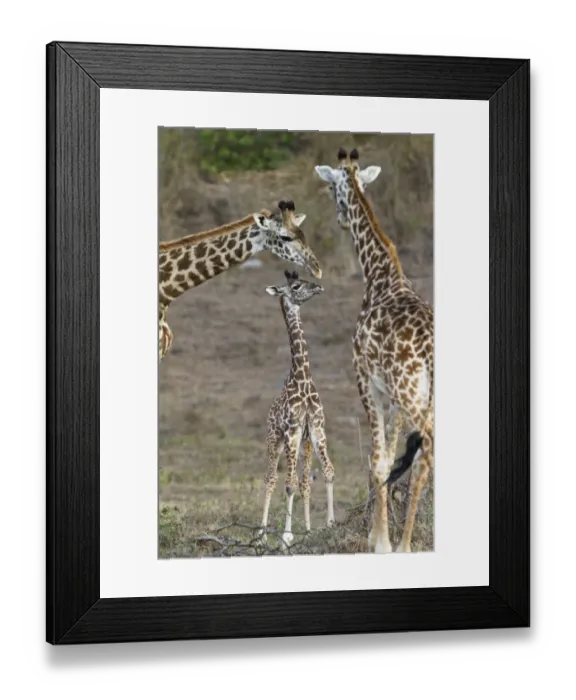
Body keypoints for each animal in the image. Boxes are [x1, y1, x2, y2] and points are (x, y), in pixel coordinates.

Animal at [260, 270, 335, 548]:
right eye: (295, 286)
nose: (319, 287)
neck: (302, 378)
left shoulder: (316, 428)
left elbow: (328, 472)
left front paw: (329, 525)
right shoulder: (291, 430)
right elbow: (289, 483)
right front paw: (287, 536)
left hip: (303, 444)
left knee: (304, 482)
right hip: (275, 439)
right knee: (271, 479)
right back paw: (261, 536)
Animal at [315, 148, 434, 554]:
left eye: (330, 187)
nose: (338, 218)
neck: (380, 275)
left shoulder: (366, 380)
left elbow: (378, 460)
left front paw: (380, 542)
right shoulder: (391, 394)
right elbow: (389, 457)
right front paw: (380, 537)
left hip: (413, 395)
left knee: (427, 452)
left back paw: (403, 545)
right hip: (419, 396)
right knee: (421, 459)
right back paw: (407, 544)